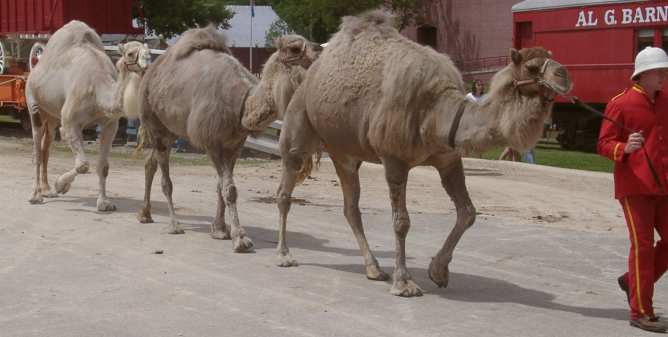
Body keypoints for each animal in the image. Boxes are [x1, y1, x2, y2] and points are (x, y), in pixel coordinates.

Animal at [26, 20, 150, 210]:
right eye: (130, 53)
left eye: (148, 51)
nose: (147, 63)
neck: (98, 89)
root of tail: (36, 66)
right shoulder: (70, 123)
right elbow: (83, 165)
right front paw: (61, 185)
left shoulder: (110, 125)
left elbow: (103, 166)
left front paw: (104, 203)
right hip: (34, 103)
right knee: (37, 150)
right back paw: (36, 196)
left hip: (52, 116)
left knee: (46, 146)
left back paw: (47, 190)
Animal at [136, 26, 320, 251]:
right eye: (294, 48)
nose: (319, 50)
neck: (242, 105)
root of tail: (150, 73)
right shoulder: (212, 141)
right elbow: (230, 189)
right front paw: (240, 238)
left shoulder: (235, 144)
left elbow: (220, 186)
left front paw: (220, 229)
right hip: (153, 122)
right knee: (165, 179)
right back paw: (174, 224)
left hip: (170, 130)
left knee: (150, 163)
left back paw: (145, 214)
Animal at [274, 10, 572, 296]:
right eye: (532, 67)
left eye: (551, 59)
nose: (565, 76)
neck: (437, 111)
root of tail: (309, 76)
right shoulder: (394, 160)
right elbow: (401, 222)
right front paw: (404, 283)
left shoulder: (449, 160)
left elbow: (468, 212)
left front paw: (438, 271)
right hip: (298, 125)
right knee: (285, 191)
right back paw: (284, 255)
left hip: (345, 153)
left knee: (350, 207)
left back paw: (373, 268)